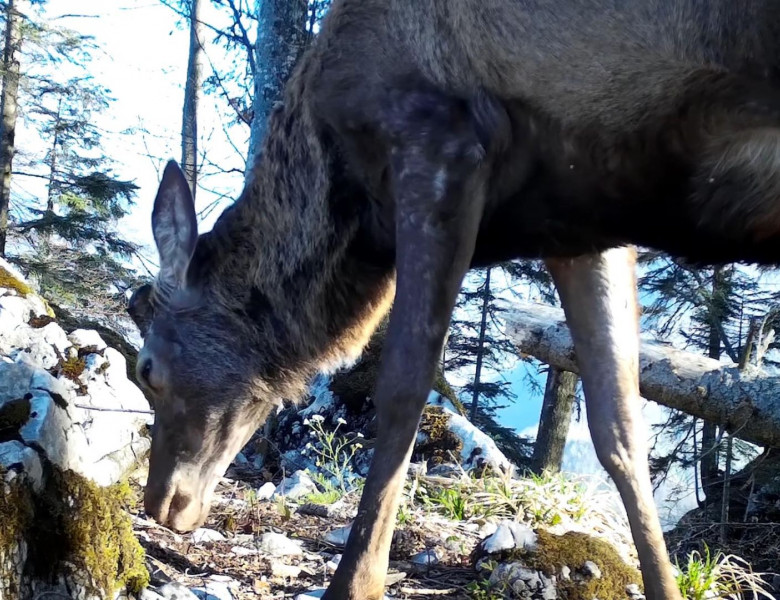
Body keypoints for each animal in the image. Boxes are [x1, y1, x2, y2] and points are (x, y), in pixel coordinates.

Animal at [129, 0, 780, 596]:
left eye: (148, 369)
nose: (159, 502)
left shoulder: (439, 141)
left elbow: (403, 391)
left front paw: (356, 581)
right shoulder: (583, 228)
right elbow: (619, 429)